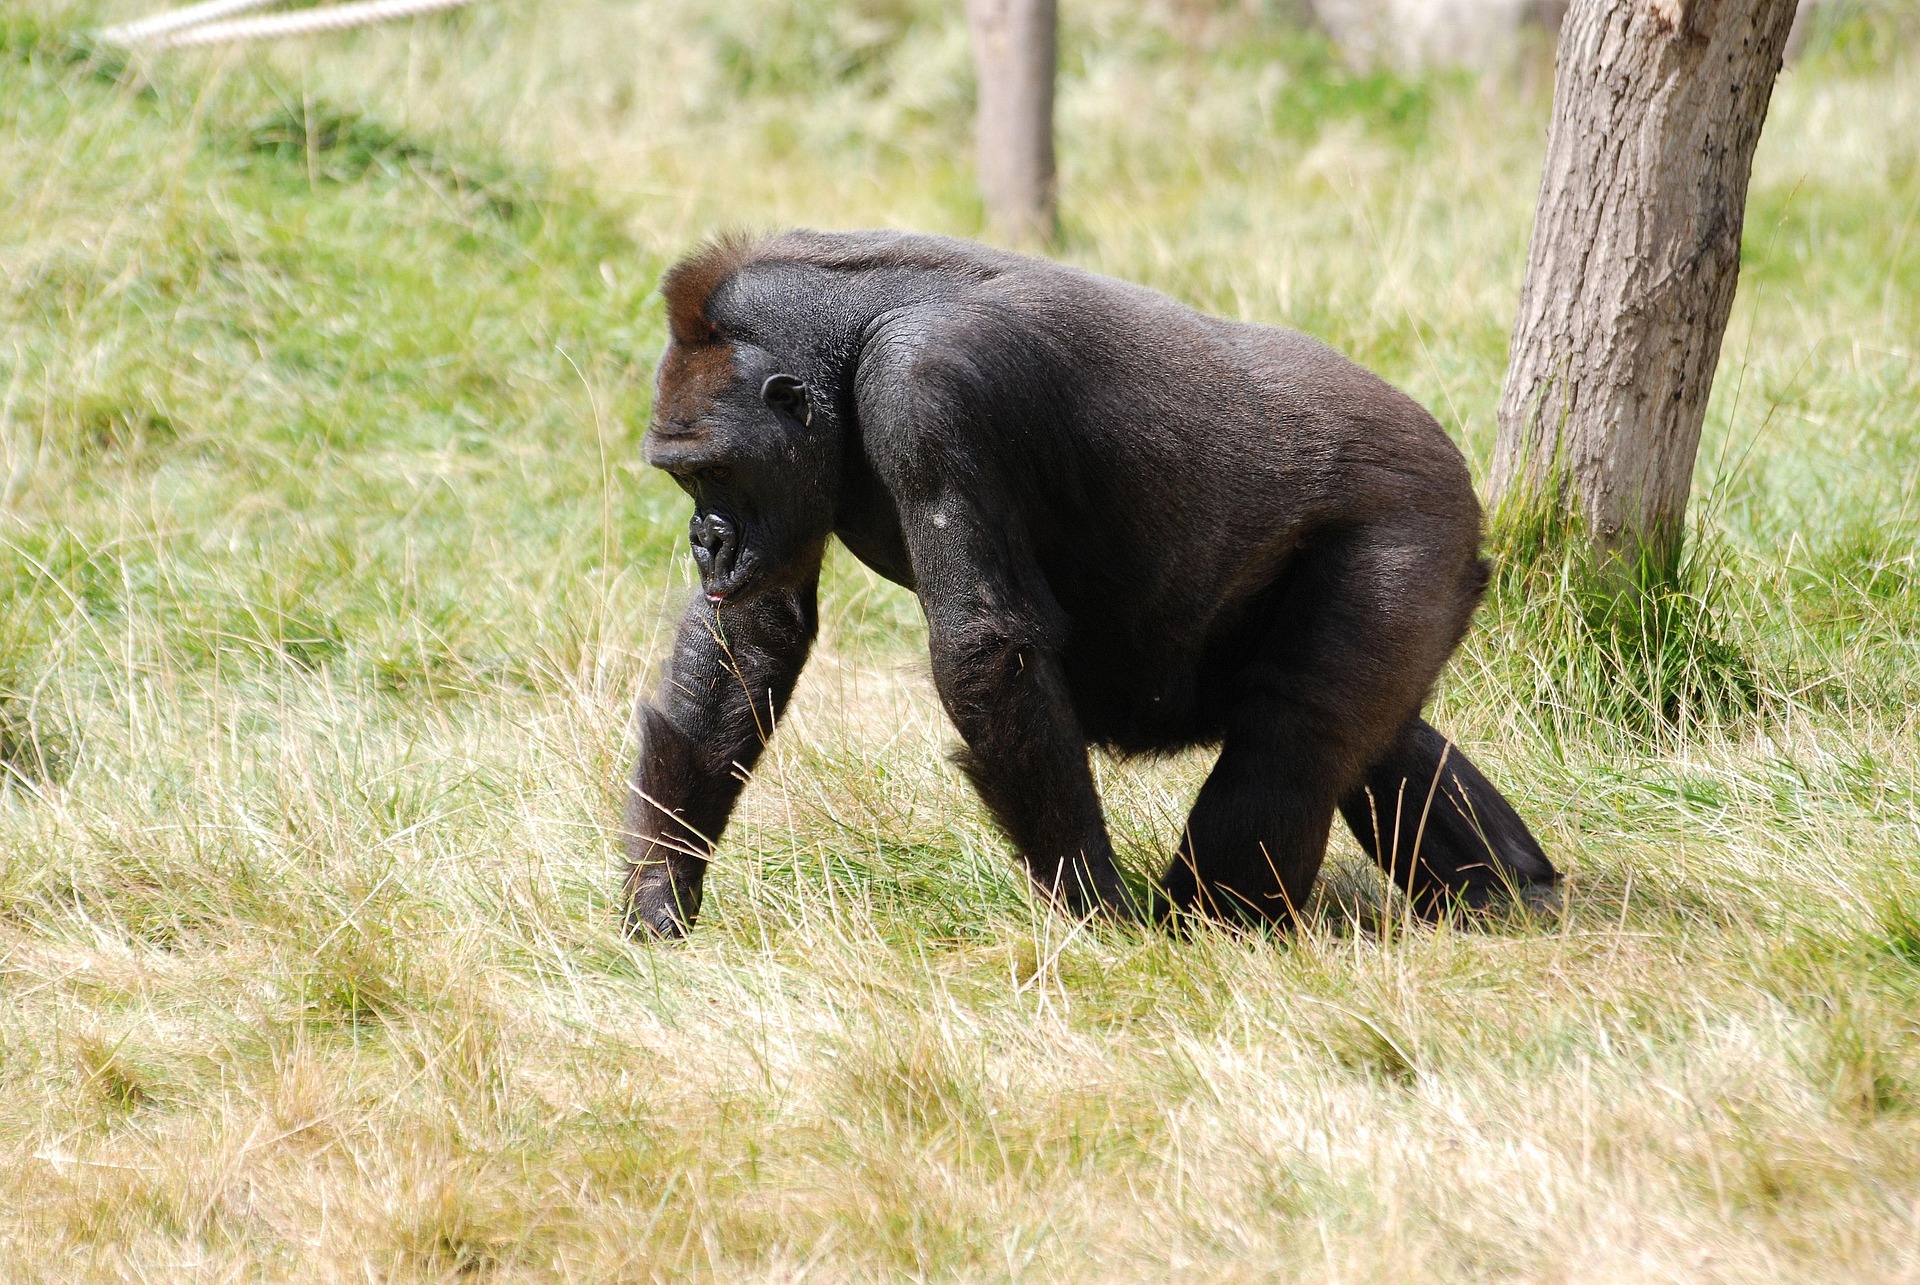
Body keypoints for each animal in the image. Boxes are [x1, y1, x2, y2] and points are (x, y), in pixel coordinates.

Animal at [622, 227, 1551, 933]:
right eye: (686, 480)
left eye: (715, 473)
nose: (706, 542)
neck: (844, 338)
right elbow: (752, 631)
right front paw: (662, 890)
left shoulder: (930, 389)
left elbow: (986, 649)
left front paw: (1094, 908)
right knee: (1375, 733)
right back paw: (1508, 887)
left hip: (1416, 517)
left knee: (1297, 731)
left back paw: (1216, 927)